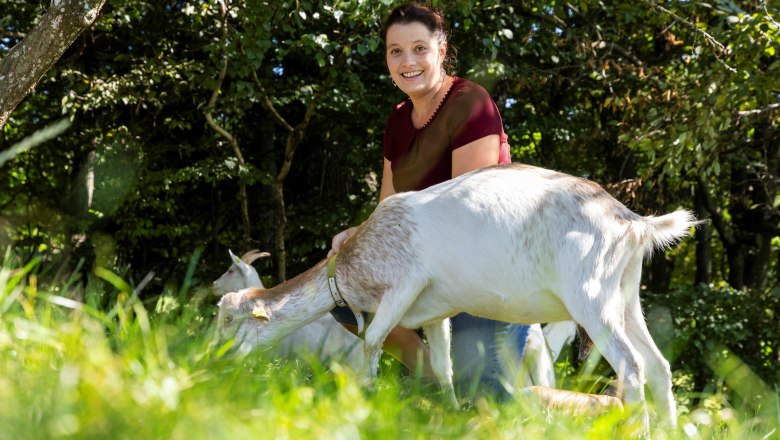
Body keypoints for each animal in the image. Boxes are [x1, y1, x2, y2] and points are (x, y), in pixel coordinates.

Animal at [218, 162, 696, 426]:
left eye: (228, 319)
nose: (217, 360)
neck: (352, 260)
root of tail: (634, 222)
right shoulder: (436, 310)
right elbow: (443, 367)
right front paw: (447, 410)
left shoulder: (403, 285)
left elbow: (372, 343)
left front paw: (363, 399)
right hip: (625, 298)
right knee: (659, 366)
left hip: (591, 299)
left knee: (631, 367)